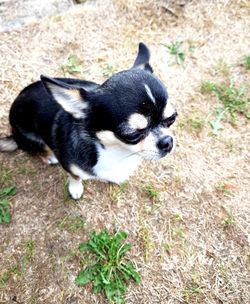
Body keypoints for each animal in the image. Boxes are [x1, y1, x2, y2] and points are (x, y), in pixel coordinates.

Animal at [0, 43, 177, 200]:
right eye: (131, 135)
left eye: (172, 118)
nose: (167, 142)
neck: (117, 151)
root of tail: (12, 133)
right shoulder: (70, 167)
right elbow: (75, 177)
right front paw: (75, 188)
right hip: (31, 137)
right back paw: (49, 156)